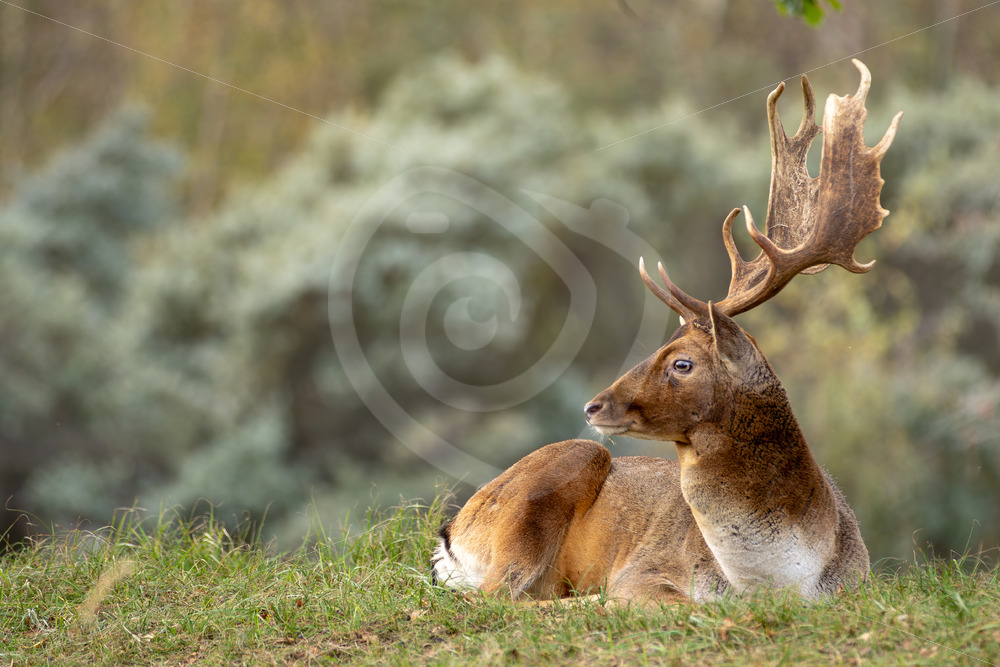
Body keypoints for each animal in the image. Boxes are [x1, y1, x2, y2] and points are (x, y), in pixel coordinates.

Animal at [431, 60, 902, 605]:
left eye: (681, 362)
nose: (593, 406)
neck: (777, 579)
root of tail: (451, 533)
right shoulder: (648, 570)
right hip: (557, 477)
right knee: (493, 596)